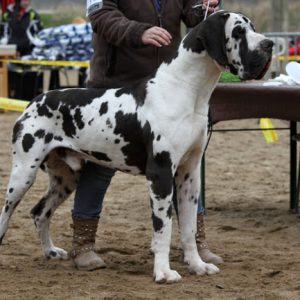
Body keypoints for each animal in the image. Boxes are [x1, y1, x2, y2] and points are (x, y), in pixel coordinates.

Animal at [0, 11, 272, 282]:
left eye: (253, 28)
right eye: (238, 31)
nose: (269, 44)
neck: (187, 90)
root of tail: (35, 99)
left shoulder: (189, 174)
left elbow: (189, 228)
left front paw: (197, 265)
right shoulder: (161, 173)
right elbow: (164, 229)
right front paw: (163, 271)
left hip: (66, 177)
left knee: (40, 212)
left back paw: (50, 251)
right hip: (23, 174)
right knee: (6, 214)